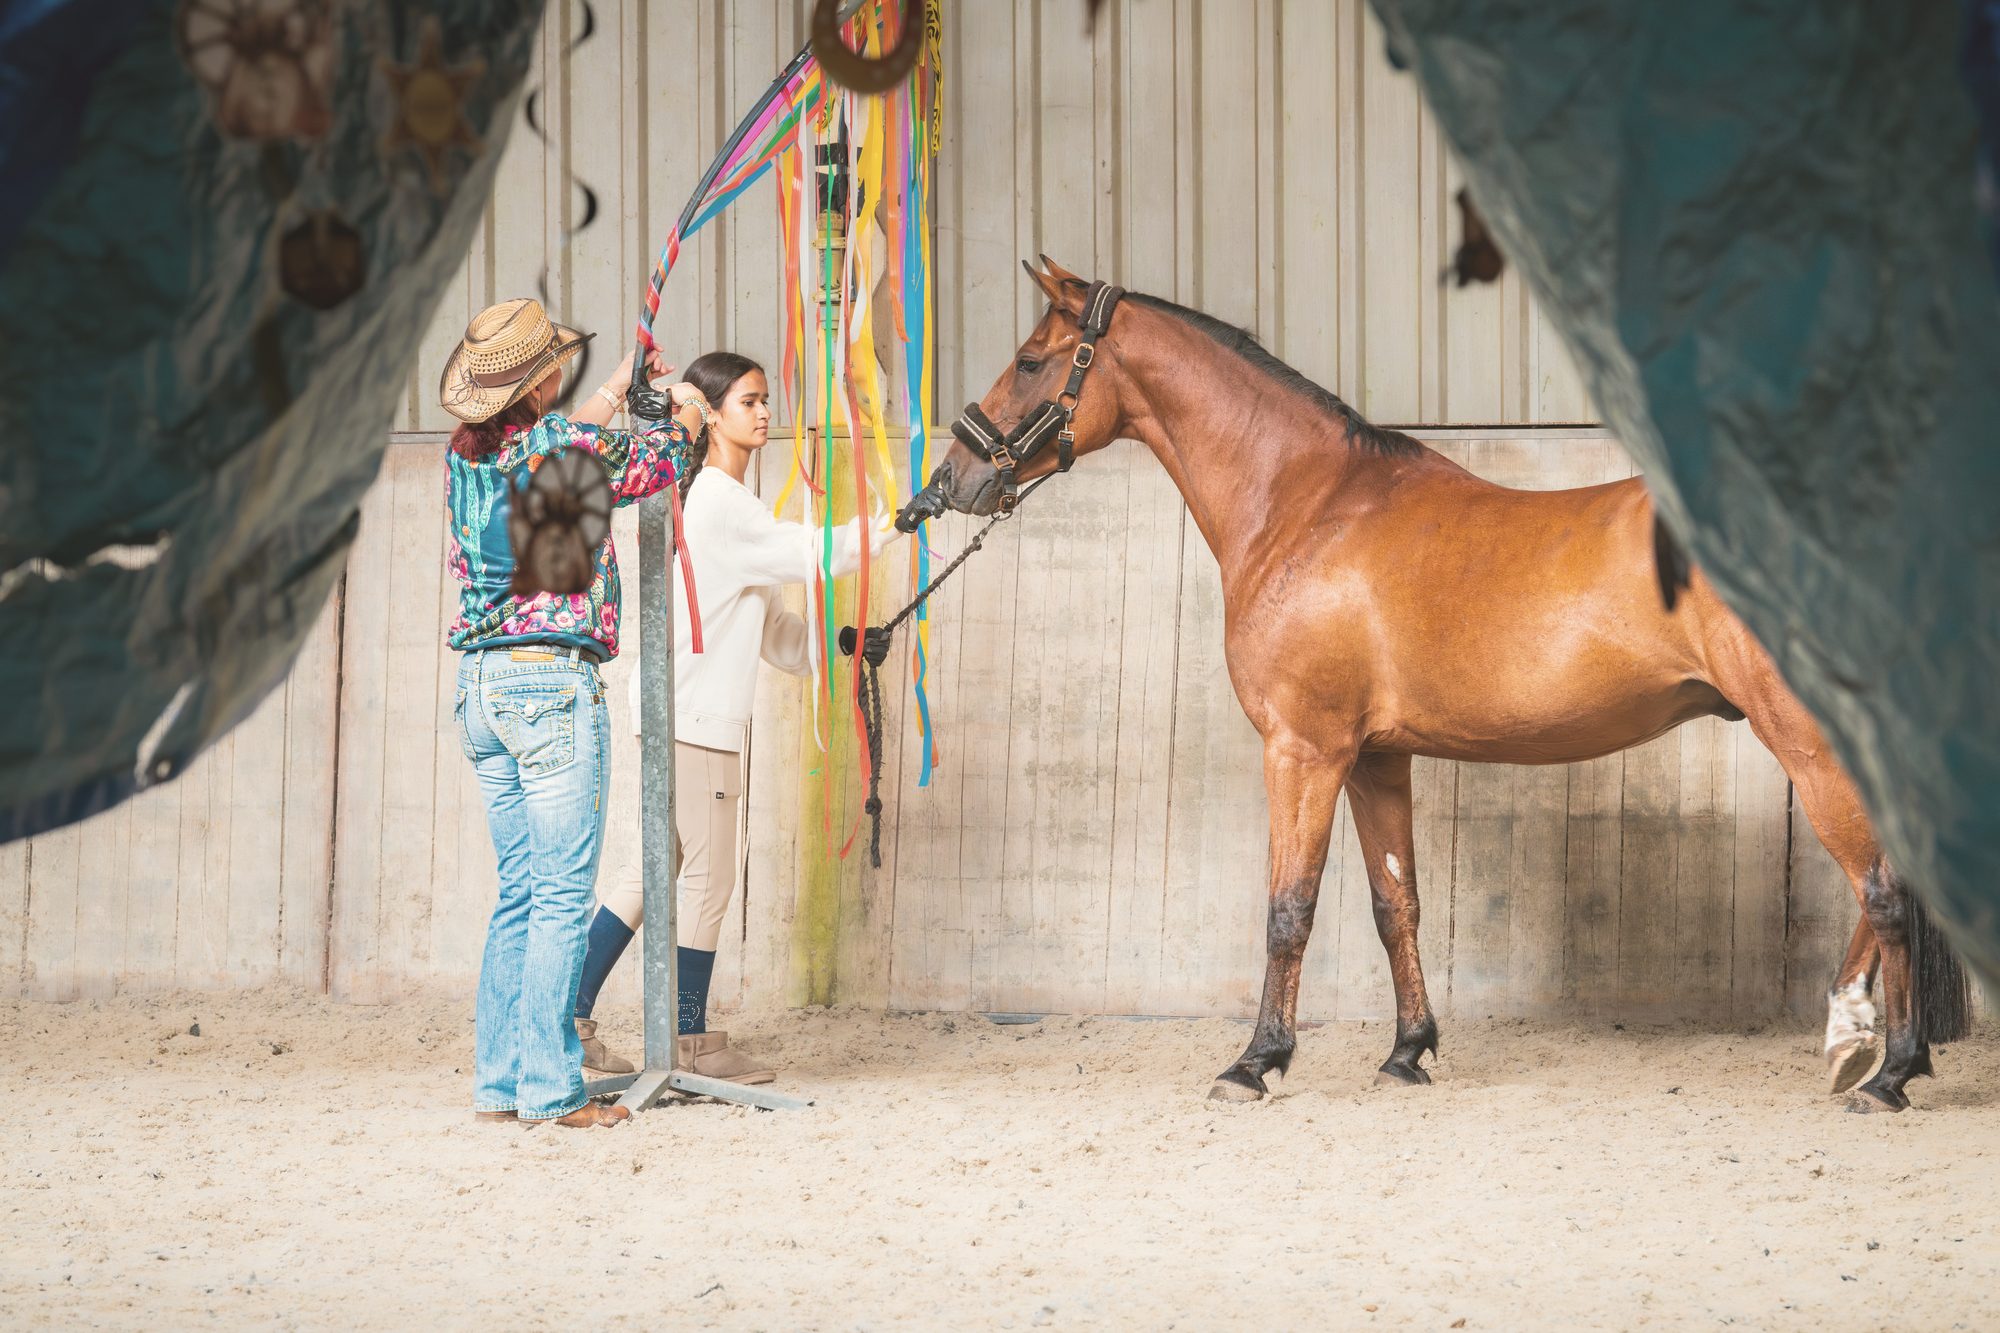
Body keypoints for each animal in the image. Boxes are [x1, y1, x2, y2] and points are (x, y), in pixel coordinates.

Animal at [912, 256, 1970, 1112]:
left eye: (1032, 359)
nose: (949, 483)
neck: (1307, 506)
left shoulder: (1304, 748)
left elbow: (1288, 908)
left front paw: (1255, 1062)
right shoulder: (1377, 758)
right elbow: (1397, 906)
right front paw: (1408, 1052)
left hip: (1806, 734)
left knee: (1885, 889)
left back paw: (1884, 1068)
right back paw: (1855, 1045)